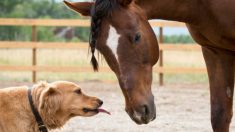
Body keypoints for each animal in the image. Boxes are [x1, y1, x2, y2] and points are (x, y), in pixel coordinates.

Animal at [64, 0, 235, 131]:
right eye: (100, 48)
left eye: (137, 36)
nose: (138, 112)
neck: (203, 4)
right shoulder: (214, 51)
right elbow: (219, 116)